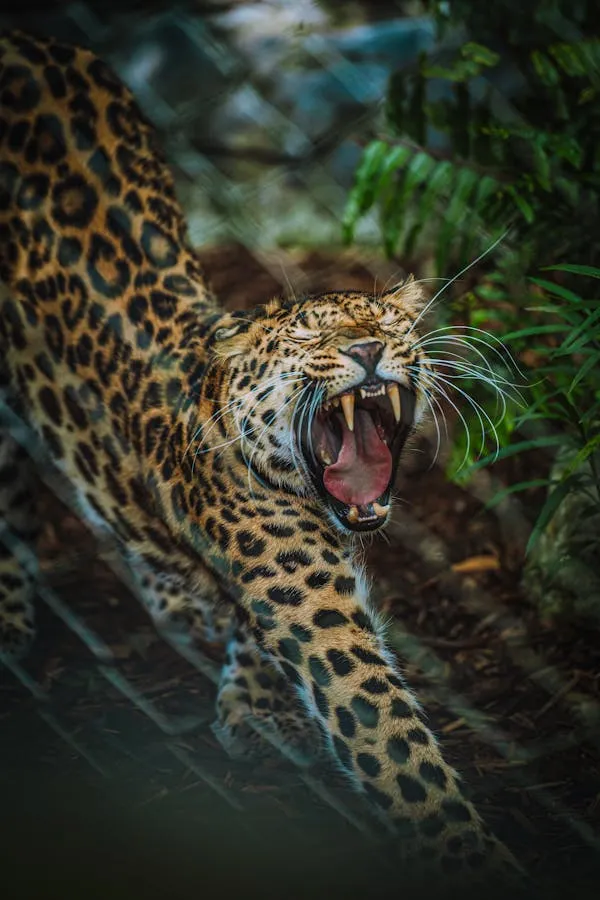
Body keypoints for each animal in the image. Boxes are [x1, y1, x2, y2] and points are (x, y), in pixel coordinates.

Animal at [0, 29, 525, 893]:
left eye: (387, 323)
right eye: (314, 334)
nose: (369, 347)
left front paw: (247, 696)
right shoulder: (314, 607)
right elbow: (396, 746)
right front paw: (467, 854)